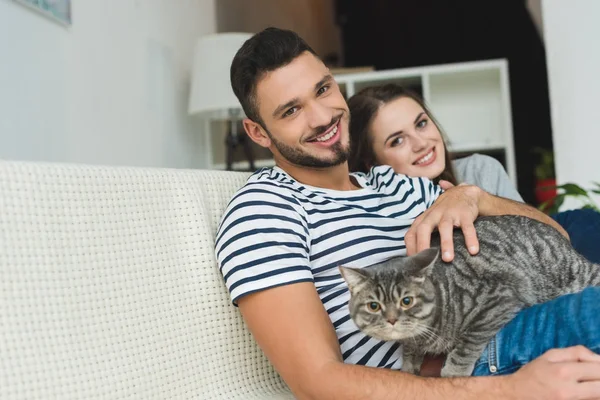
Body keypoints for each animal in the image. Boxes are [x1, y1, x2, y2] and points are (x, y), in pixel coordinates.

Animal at [340, 214, 596, 376]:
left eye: (406, 301)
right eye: (374, 306)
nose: (392, 319)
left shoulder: (497, 300)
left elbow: (466, 344)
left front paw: (453, 371)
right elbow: (410, 352)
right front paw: (409, 365)